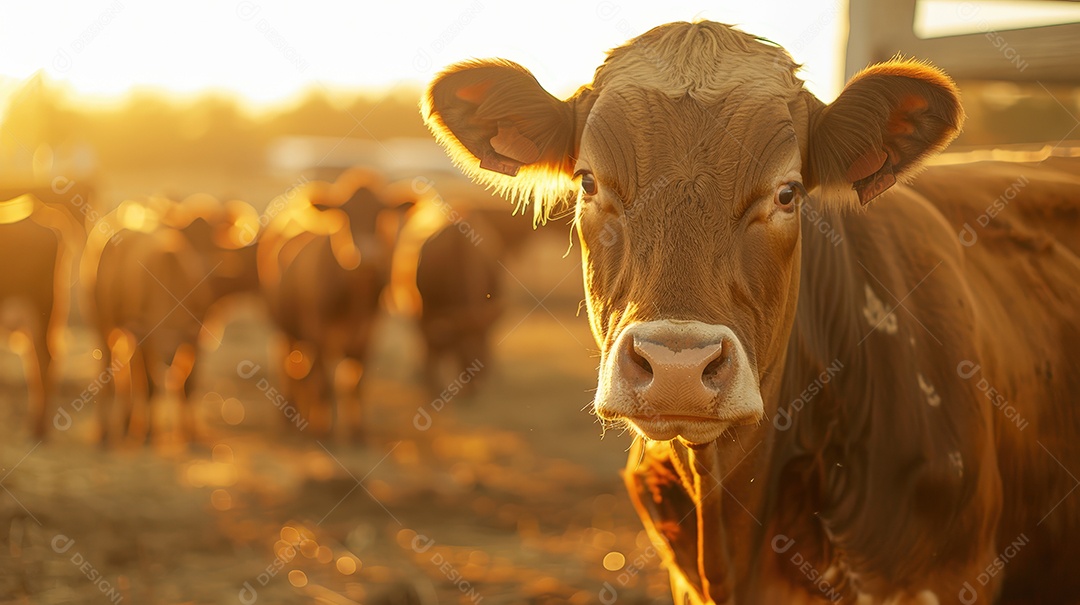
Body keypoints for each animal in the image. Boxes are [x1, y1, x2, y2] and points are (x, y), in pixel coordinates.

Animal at [259, 167, 410, 442]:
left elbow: (356, 384)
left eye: (381, 213)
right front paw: (325, 429)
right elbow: (325, 383)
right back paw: (289, 419)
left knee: (302, 373)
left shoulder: (367, 334)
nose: (368, 257)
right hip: (285, 329)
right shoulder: (319, 333)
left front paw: (358, 432)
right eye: (346, 215)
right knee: (289, 369)